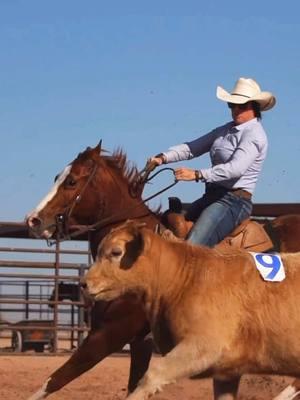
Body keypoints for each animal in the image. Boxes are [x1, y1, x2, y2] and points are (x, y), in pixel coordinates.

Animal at [83, 220, 300, 400]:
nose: (84, 283)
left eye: (116, 252)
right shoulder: (227, 372)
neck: (185, 277)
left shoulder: (202, 346)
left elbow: (153, 375)